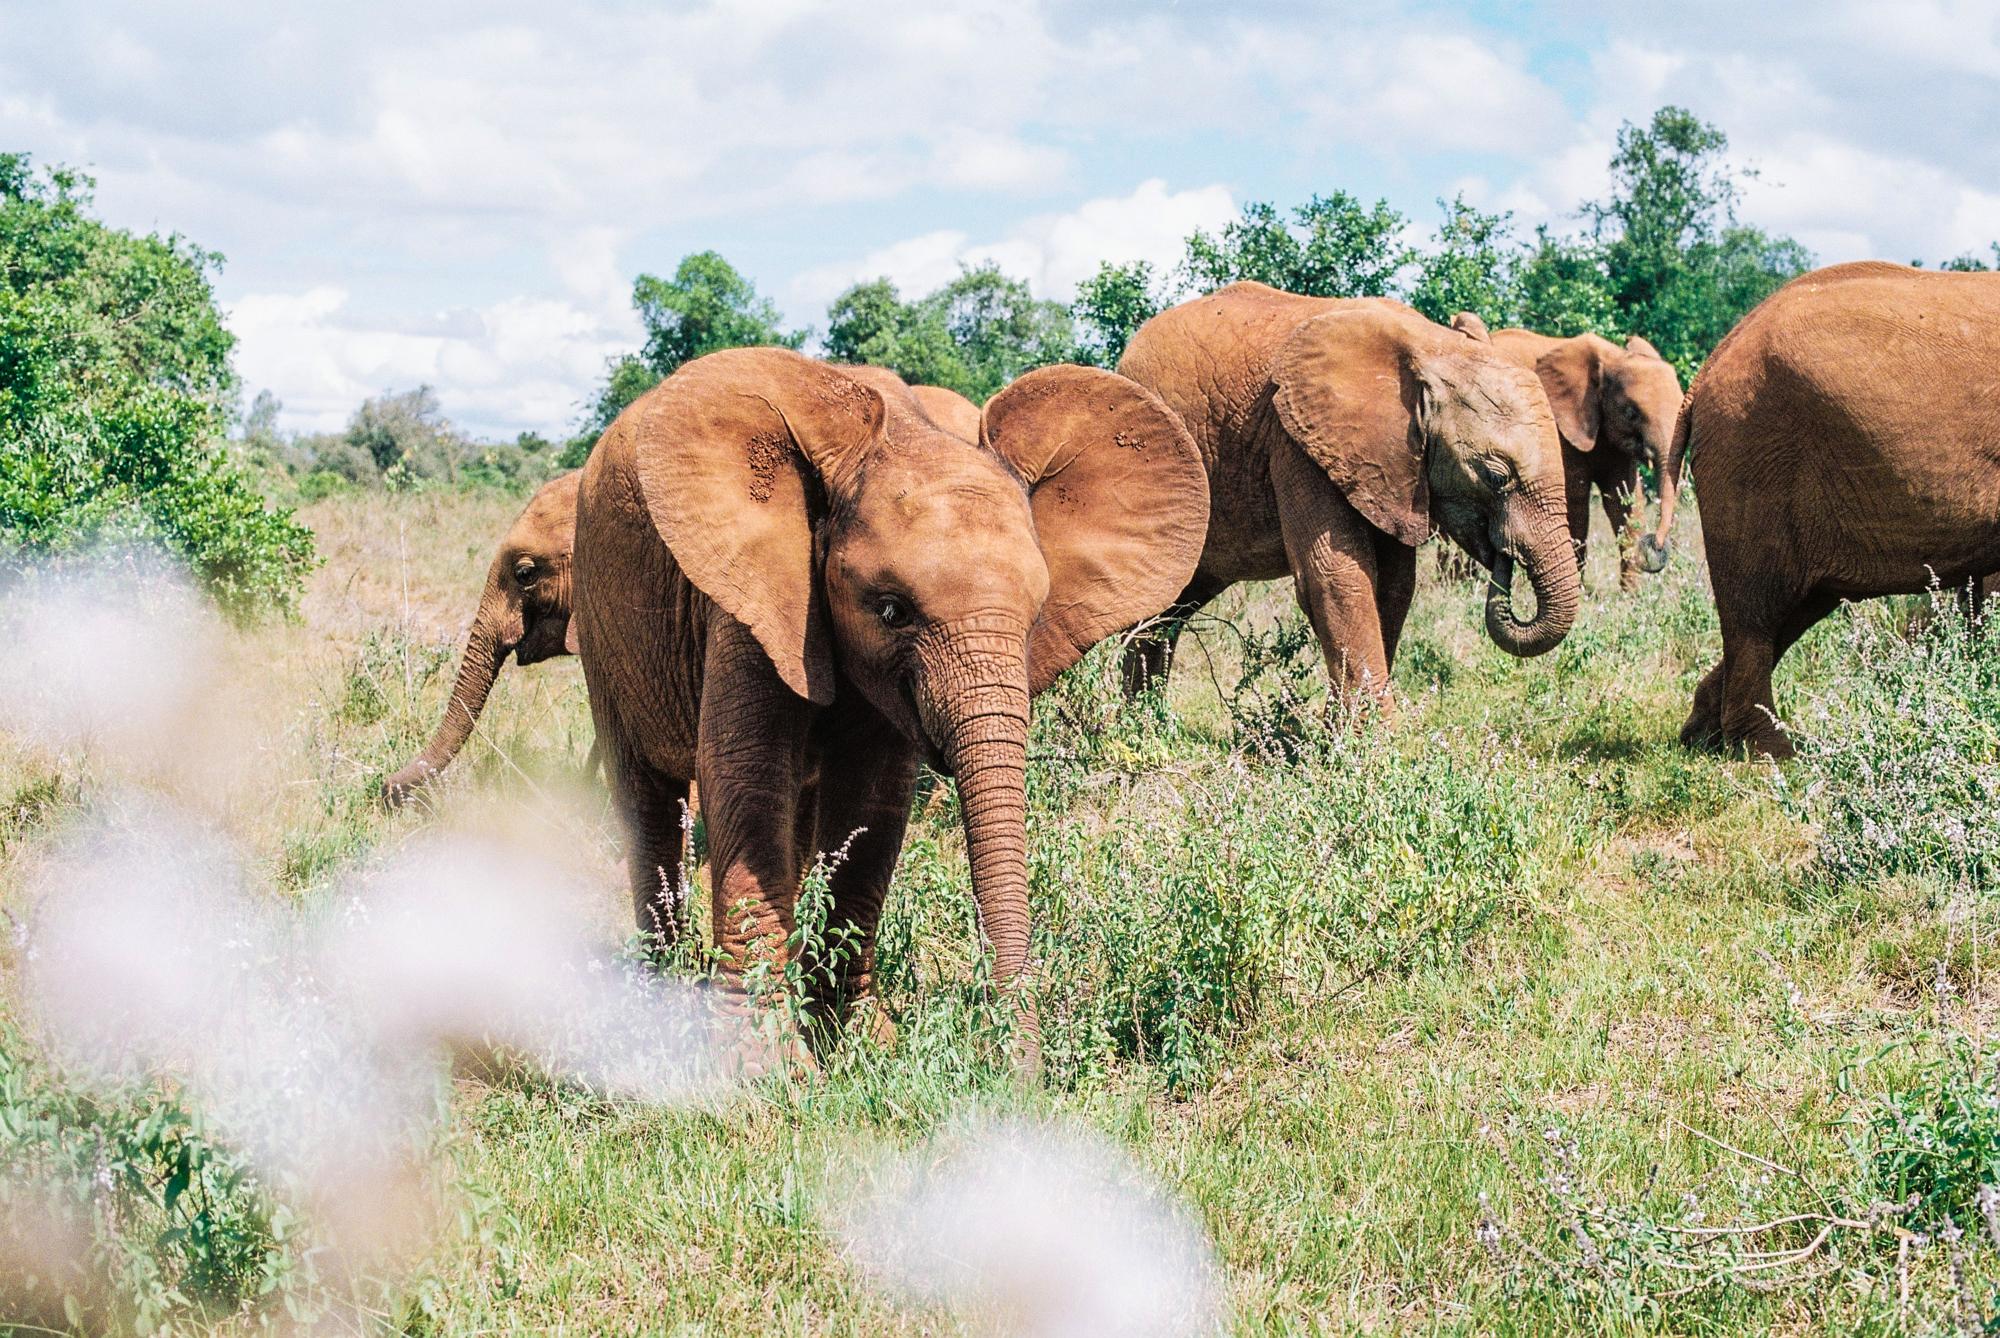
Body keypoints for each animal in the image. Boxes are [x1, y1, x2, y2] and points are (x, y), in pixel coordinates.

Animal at [571, 347, 1208, 1072]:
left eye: (1037, 612)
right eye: (890, 610)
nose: (1017, 1073)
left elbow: (872, 804)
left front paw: (860, 1051)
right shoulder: (750, 595)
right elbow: (747, 776)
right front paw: (766, 1072)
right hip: (602, 610)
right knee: (645, 798)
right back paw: (659, 1000)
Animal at [1115, 282, 1581, 704]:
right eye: (1496, 476)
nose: (1503, 558)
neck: (1430, 345)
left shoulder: (1390, 467)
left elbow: (1395, 585)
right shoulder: (1294, 439)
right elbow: (1337, 577)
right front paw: (1373, 738)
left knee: (1172, 606)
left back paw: (1146, 720)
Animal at [1467, 321, 1685, 592]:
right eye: (1631, 413)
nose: (1655, 545)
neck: (1612, 359)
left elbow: (1624, 500)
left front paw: (1632, 596)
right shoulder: (1560, 426)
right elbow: (1574, 500)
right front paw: (1580, 590)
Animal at [1641, 261, 2000, 758]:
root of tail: (1711, 362)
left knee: (1788, 612)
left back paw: (1701, 737)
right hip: (1754, 454)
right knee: (1756, 613)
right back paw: (1770, 753)